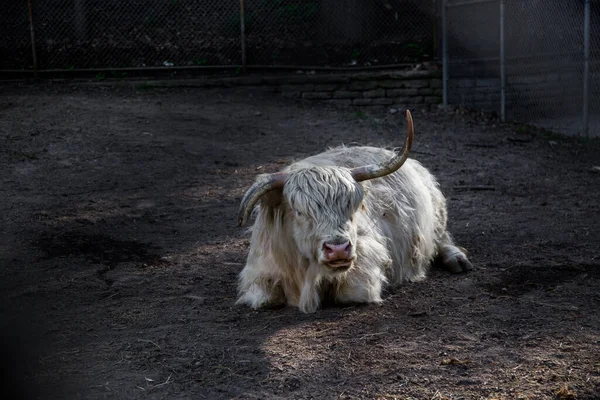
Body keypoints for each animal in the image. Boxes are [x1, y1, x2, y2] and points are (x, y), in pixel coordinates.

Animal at [237, 111, 472, 314]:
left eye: (352, 207)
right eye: (299, 212)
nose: (338, 249)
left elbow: (351, 293)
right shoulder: (258, 272)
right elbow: (265, 299)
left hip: (437, 212)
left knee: (441, 239)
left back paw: (457, 259)